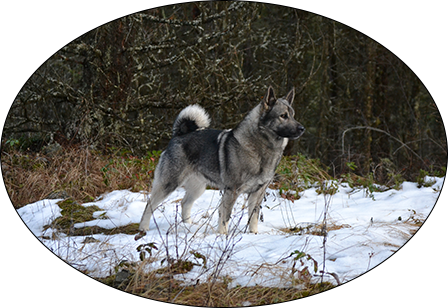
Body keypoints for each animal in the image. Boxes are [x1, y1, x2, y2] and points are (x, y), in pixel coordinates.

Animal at [135, 85, 304, 239]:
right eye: (283, 115)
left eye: (293, 115)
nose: (302, 128)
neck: (261, 147)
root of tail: (179, 135)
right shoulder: (231, 191)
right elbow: (225, 217)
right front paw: (223, 236)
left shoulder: (258, 193)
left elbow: (253, 217)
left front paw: (253, 234)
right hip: (168, 183)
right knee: (150, 204)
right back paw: (143, 228)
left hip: (197, 187)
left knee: (185, 203)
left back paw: (187, 226)